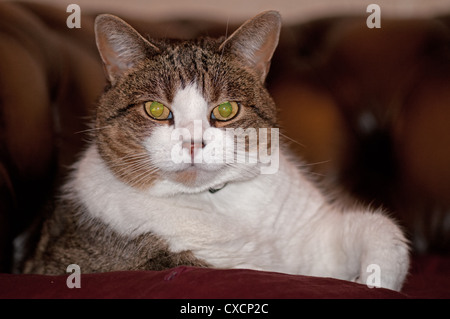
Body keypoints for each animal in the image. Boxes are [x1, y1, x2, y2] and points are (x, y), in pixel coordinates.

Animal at [21, 10, 410, 292]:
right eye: (156, 109)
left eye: (225, 110)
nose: (193, 142)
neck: (217, 203)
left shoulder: (313, 231)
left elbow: (383, 235)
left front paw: (369, 280)